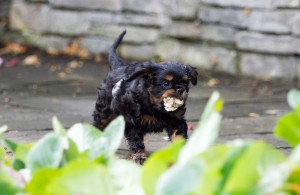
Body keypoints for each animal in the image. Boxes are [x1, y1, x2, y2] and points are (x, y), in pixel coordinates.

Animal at [92, 30, 198, 165]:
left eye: (185, 83)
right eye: (166, 83)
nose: (180, 89)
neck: (156, 107)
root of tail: (117, 68)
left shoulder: (176, 120)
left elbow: (178, 136)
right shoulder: (133, 122)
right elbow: (136, 141)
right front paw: (140, 156)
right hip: (104, 112)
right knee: (98, 124)